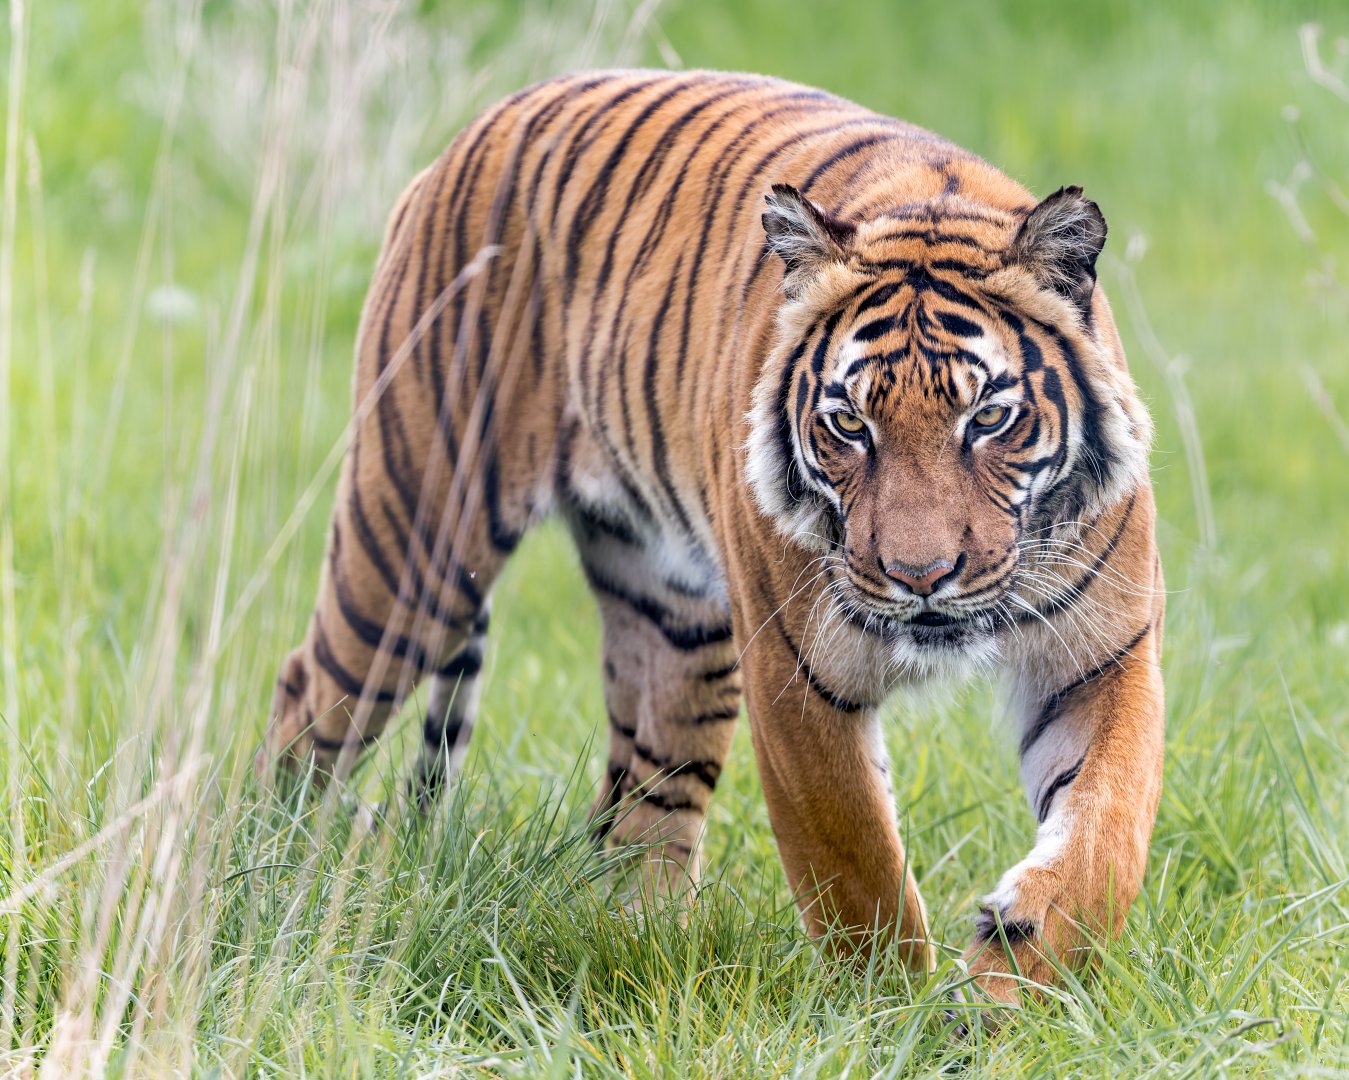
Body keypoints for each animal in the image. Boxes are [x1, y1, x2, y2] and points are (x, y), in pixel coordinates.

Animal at [258, 69, 1165, 1011]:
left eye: (987, 418)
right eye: (850, 424)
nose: (919, 577)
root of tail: (493, 117)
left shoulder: (1103, 654)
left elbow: (1108, 823)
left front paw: (1014, 976)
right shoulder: (797, 677)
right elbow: (856, 864)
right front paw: (893, 1012)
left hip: (673, 615)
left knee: (641, 802)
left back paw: (645, 942)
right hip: (415, 543)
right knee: (308, 693)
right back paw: (277, 871)